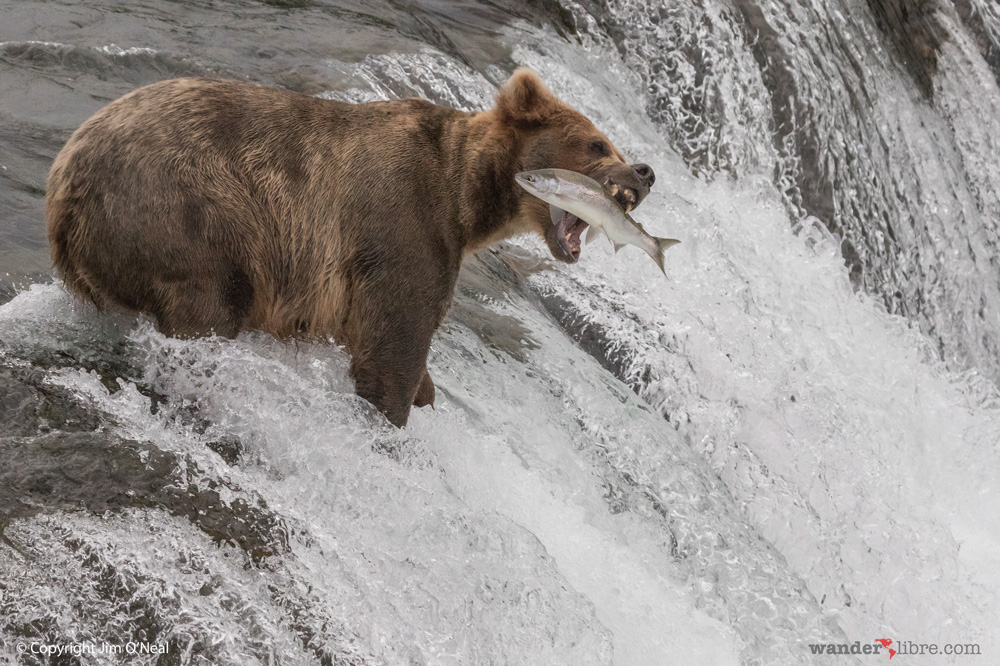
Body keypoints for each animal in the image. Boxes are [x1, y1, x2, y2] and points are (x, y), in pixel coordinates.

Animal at [45, 68, 656, 426]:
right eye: (597, 142)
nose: (645, 172)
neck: (466, 198)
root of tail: (63, 186)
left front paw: (426, 392)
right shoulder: (404, 224)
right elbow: (395, 341)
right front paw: (393, 408)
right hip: (189, 210)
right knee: (208, 304)